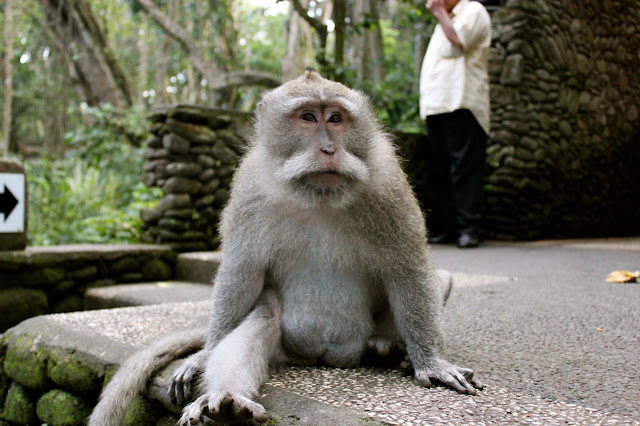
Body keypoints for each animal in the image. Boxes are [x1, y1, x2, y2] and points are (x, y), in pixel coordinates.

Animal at [89, 70, 480, 426]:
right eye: (308, 117)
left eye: (335, 118)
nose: (329, 149)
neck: (318, 194)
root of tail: (324, 356)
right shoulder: (249, 185)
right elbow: (241, 272)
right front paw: (205, 355)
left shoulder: (388, 186)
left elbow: (408, 269)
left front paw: (431, 362)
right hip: (286, 348)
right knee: (262, 313)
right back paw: (229, 401)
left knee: (438, 279)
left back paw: (385, 348)